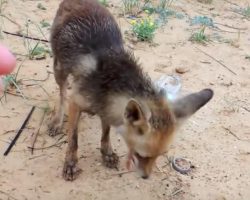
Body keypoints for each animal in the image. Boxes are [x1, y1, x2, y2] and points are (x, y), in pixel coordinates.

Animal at [48, 0, 213, 181]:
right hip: (59, 70)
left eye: (160, 155)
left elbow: (106, 132)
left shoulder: (107, 107)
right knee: (62, 94)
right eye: (141, 155)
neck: (112, 80)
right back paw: (57, 121)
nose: (146, 177)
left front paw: (107, 152)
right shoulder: (76, 102)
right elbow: (73, 140)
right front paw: (71, 163)